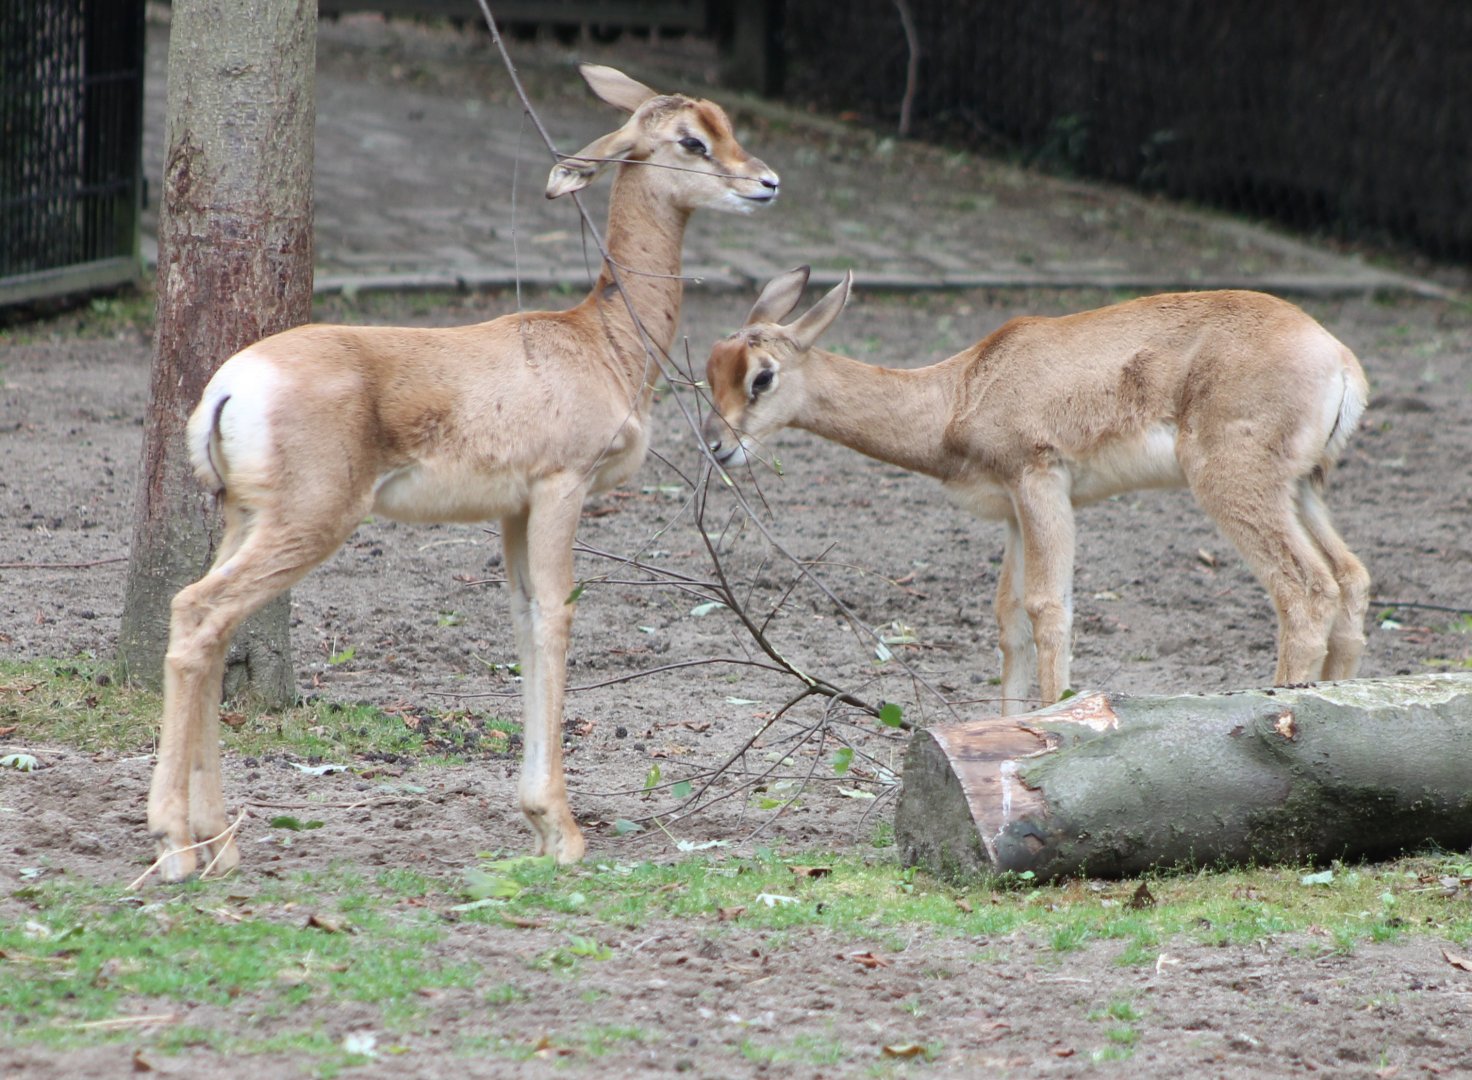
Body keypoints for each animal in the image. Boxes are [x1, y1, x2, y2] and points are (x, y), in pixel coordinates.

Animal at [147, 64, 779, 880]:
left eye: (723, 122)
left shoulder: (513, 511)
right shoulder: (561, 487)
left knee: (211, 628)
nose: (765, 182)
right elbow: (557, 616)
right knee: (198, 612)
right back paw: (175, 847)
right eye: (691, 140)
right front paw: (563, 832)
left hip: (245, 518)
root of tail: (229, 385)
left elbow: (521, 619)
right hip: (309, 520)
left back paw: (218, 845)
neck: (601, 341)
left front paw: (537, 824)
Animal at [703, 268, 1370, 715]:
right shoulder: (1012, 515)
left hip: (1232, 483)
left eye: (762, 377)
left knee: (1305, 589)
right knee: (1350, 578)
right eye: (714, 369)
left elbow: (1050, 609)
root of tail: (1339, 357)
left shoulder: (1040, 482)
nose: (717, 446)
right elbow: (1009, 619)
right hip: (1301, 489)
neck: (961, 390)